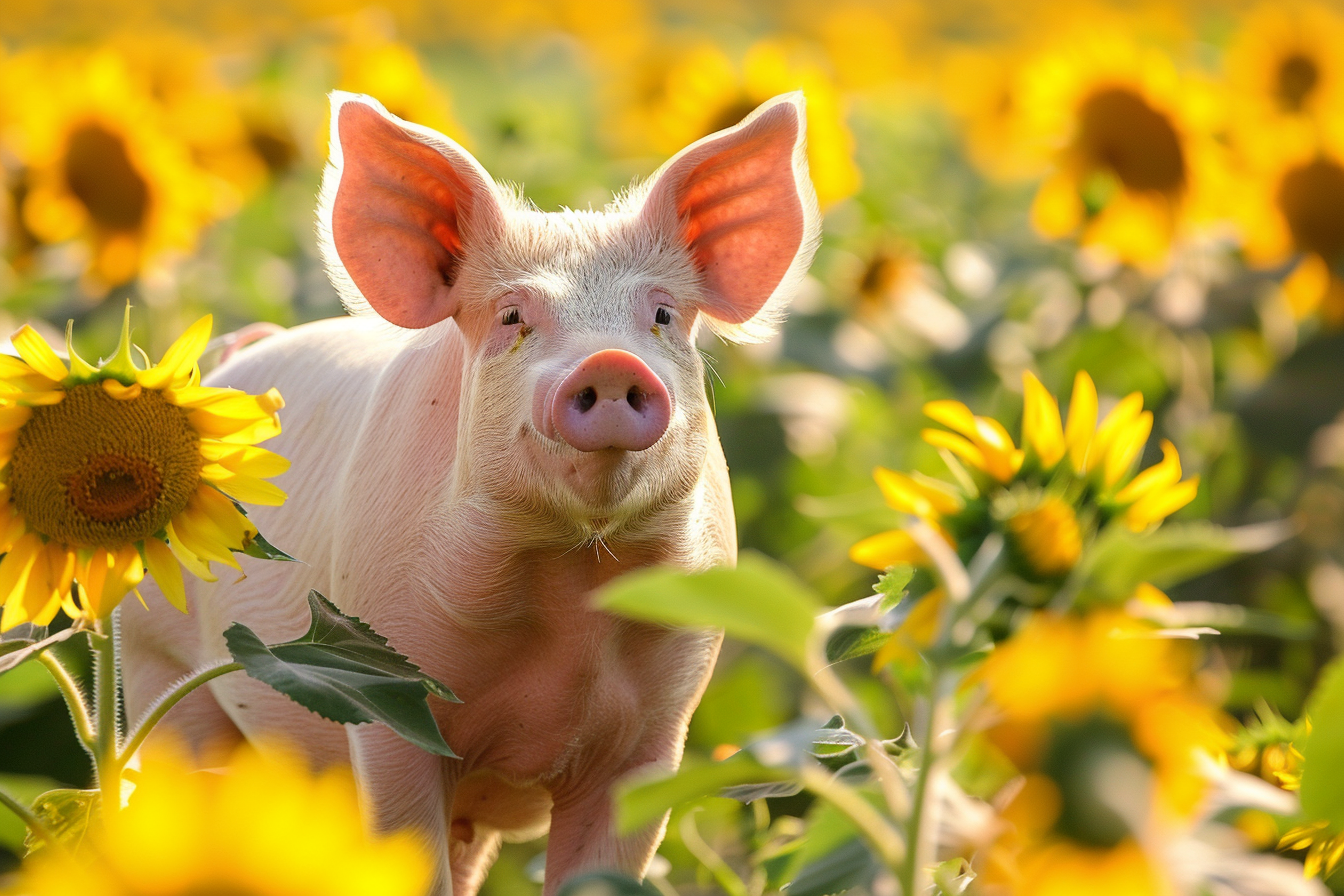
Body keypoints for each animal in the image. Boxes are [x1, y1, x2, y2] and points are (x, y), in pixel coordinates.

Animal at [119, 89, 821, 896]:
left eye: (663, 315)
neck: (570, 583)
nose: (611, 363)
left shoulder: (655, 737)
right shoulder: (382, 694)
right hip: (153, 654)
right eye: (513, 316)